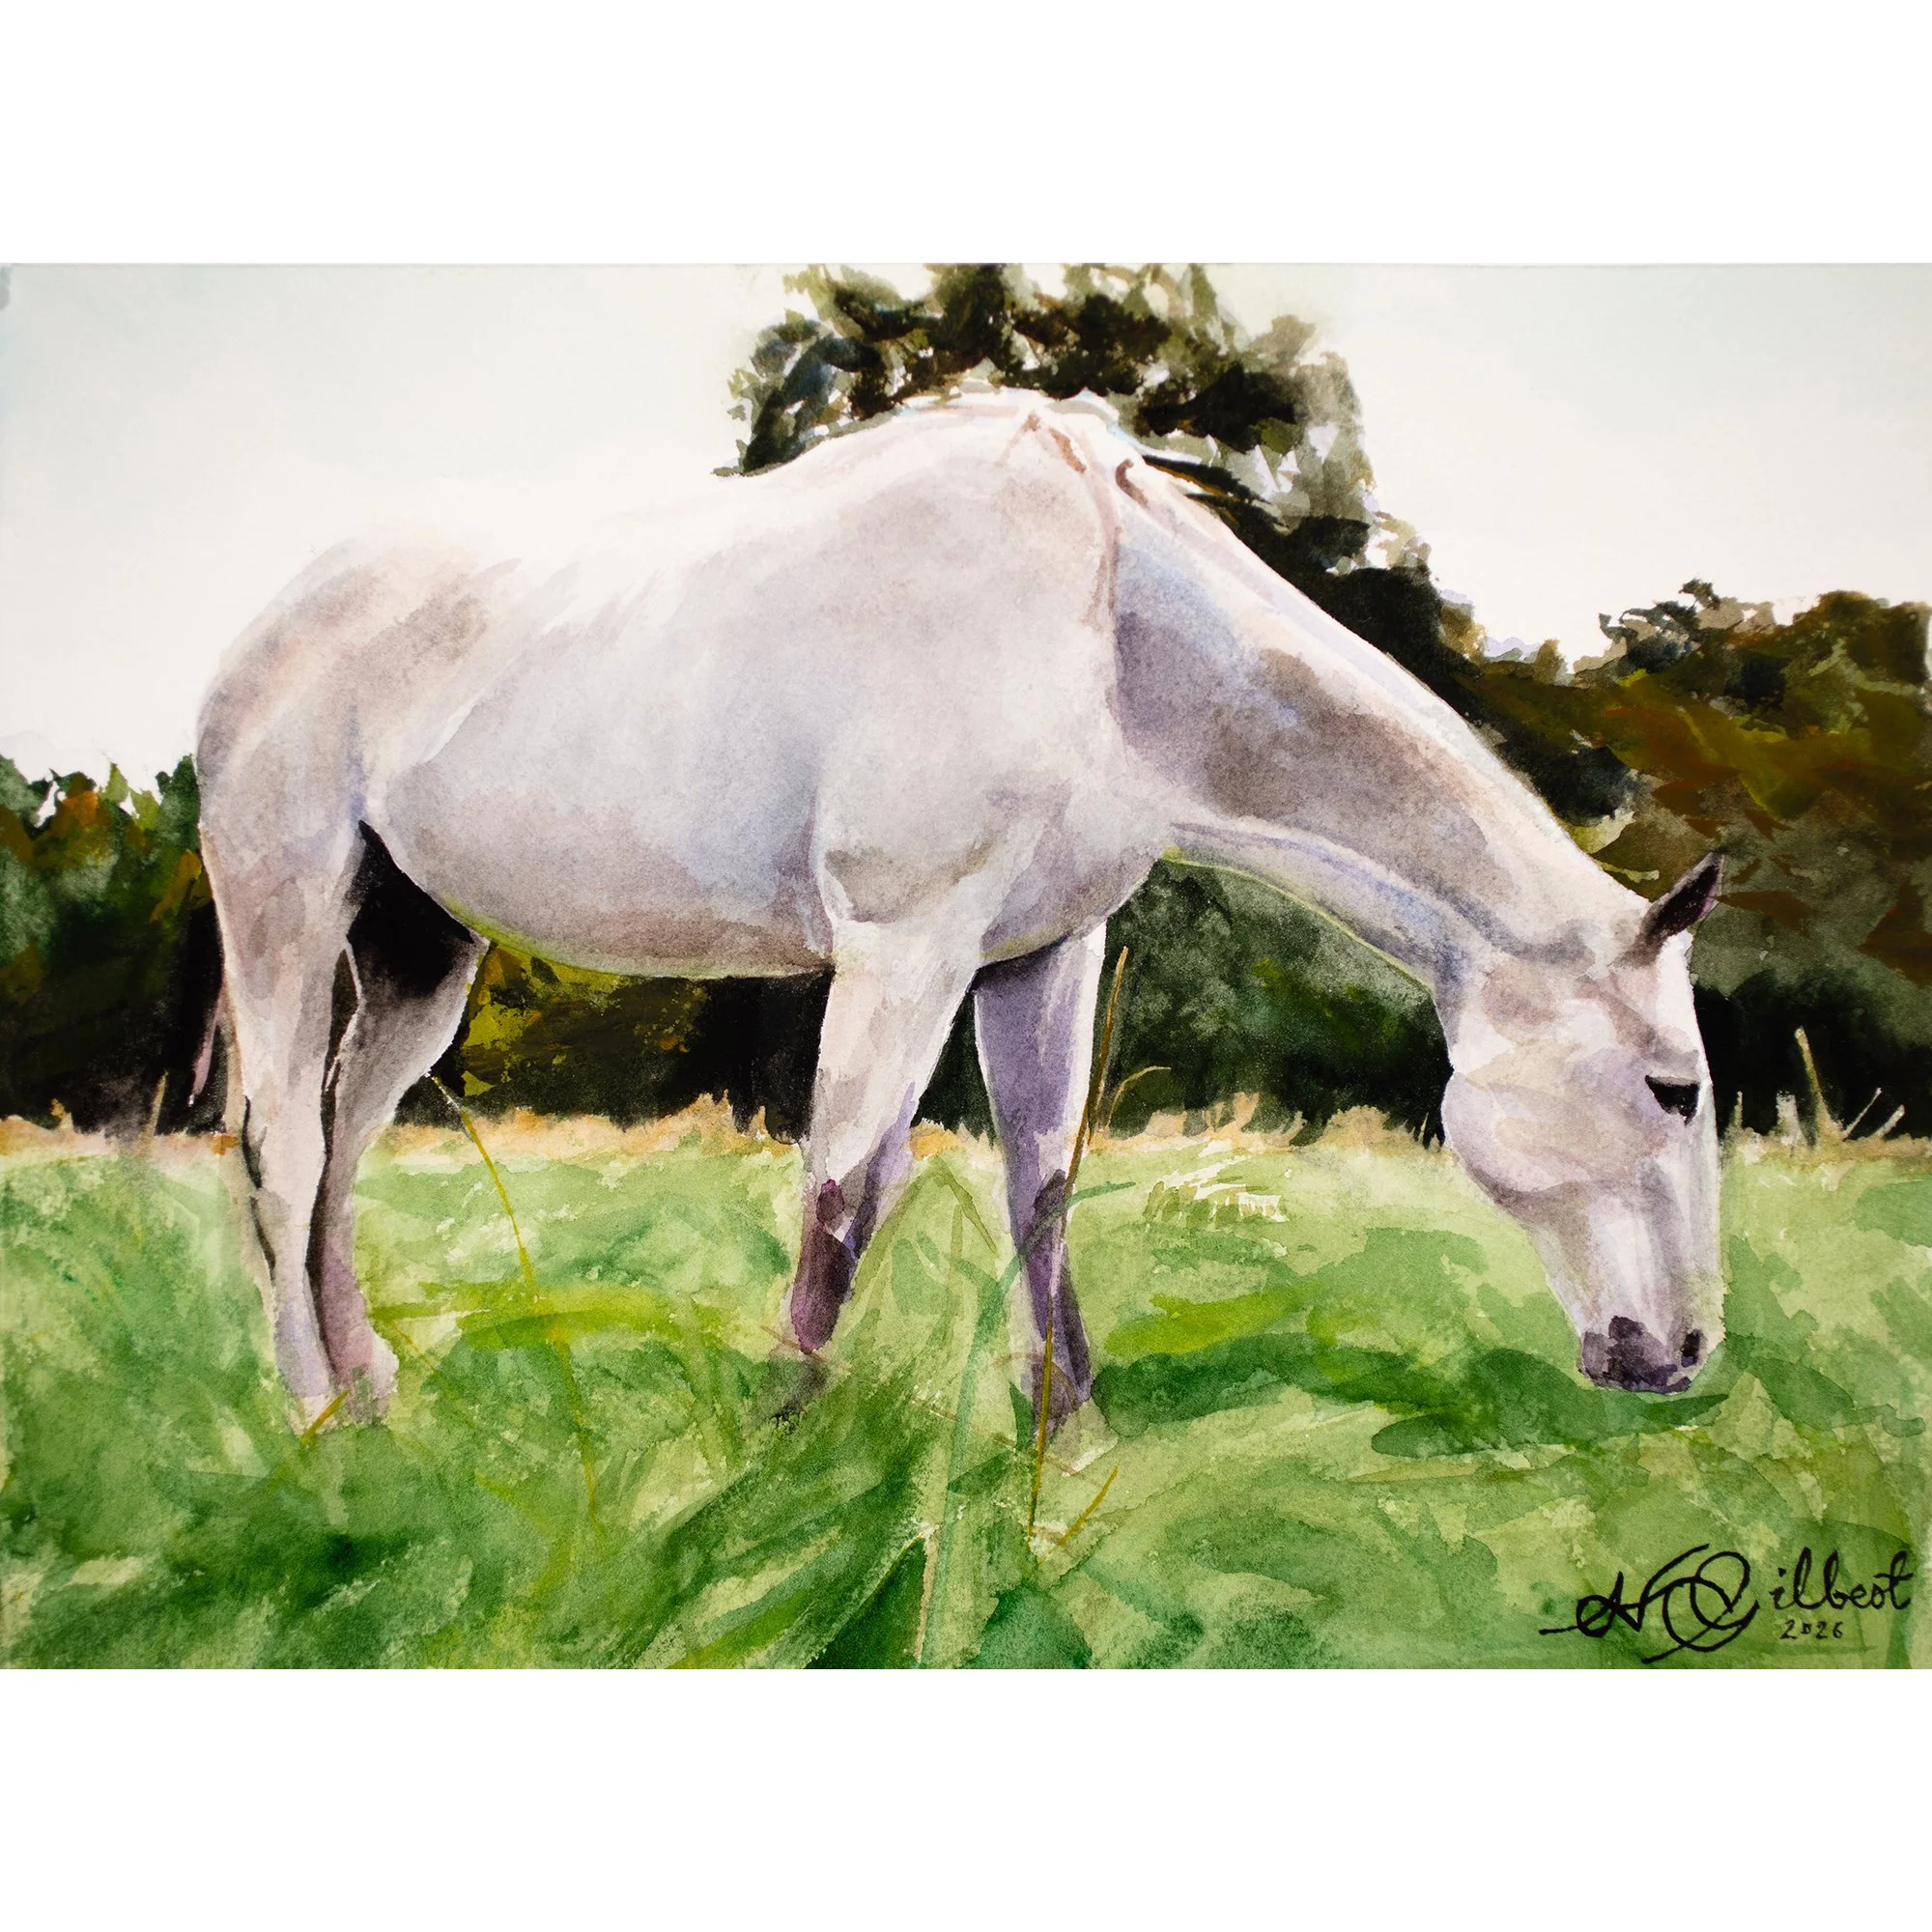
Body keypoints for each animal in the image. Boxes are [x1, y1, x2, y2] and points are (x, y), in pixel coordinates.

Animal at [194, 388, 1725, 1429]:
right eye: (1672, 1088)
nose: (1686, 1351)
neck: (1105, 627)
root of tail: (269, 619)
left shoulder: (1042, 952)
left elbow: (1038, 1182)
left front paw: (1070, 1431)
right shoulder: (902, 945)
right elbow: (844, 1184)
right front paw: (781, 1442)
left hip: (420, 951)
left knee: (340, 1146)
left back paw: (374, 1390)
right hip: (286, 901)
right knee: (280, 1141)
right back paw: (313, 1415)